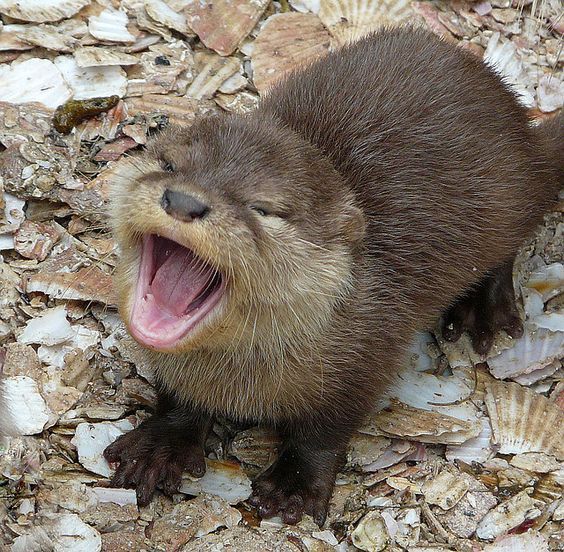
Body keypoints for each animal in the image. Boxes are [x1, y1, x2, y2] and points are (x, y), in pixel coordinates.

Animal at [103, 27, 560, 528]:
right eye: (168, 165)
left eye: (263, 209)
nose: (184, 200)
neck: (243, 374)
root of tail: (524, 132)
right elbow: (178, 395)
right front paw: (160, 445)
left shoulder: (367, 354)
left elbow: (327, 428)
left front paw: (294, 485)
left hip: (509, 200)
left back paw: (484, 310)